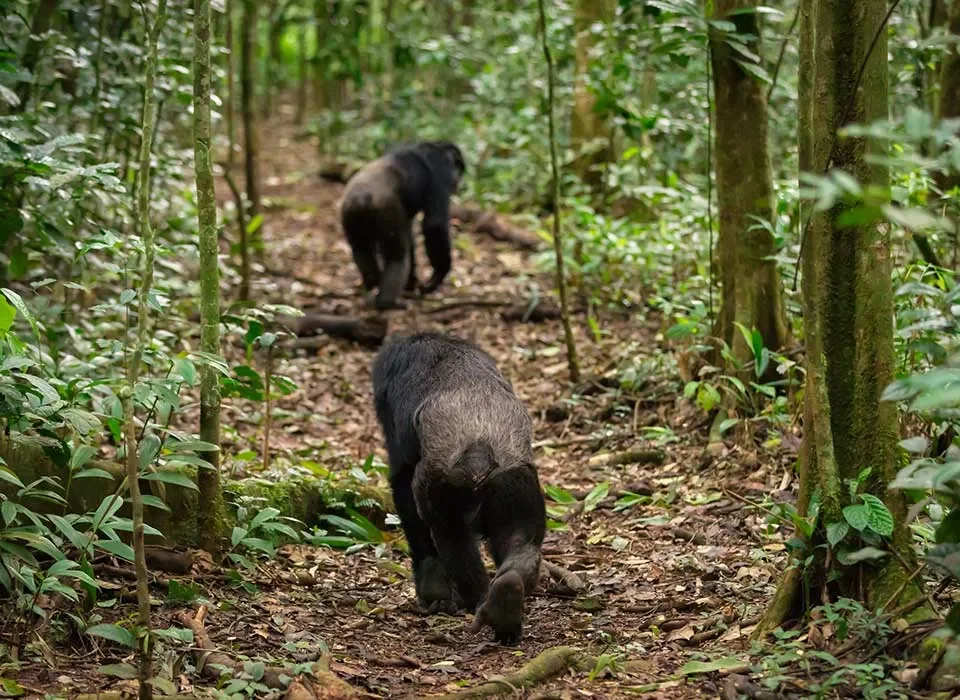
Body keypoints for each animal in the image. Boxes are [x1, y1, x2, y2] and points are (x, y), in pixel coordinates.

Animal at [339, 141, 465, 311]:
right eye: (458, 166)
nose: (458, 180)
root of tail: (361, 197)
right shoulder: (441, 172)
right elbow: (434, 224)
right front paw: (436, 278)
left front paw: (411, 284)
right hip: (385, 212)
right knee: (397, 255)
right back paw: (386, 302)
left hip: (349, 215)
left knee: (361, 249)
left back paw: (372, 283)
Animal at [371, 332, 546, 644]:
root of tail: (479, 449)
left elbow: (401, 482)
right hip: (516, 483)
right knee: (521, 540)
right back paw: (506, 602)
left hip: (442, 486)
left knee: (452, 539)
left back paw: (474, 600)